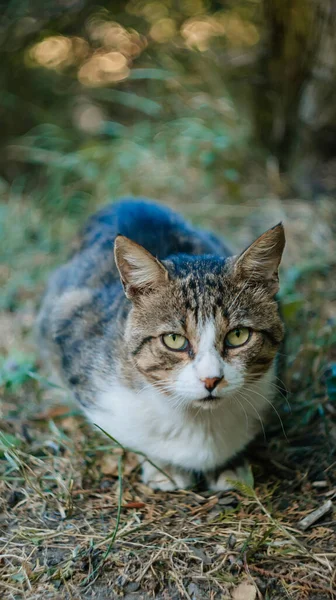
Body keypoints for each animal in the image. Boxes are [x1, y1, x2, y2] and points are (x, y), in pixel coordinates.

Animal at [36, 199, 284, 490]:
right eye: (174, 340)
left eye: (238, 335)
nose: (211, 380)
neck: (200, 421)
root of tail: (128, 201)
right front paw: (164, 467)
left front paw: (230, 463)